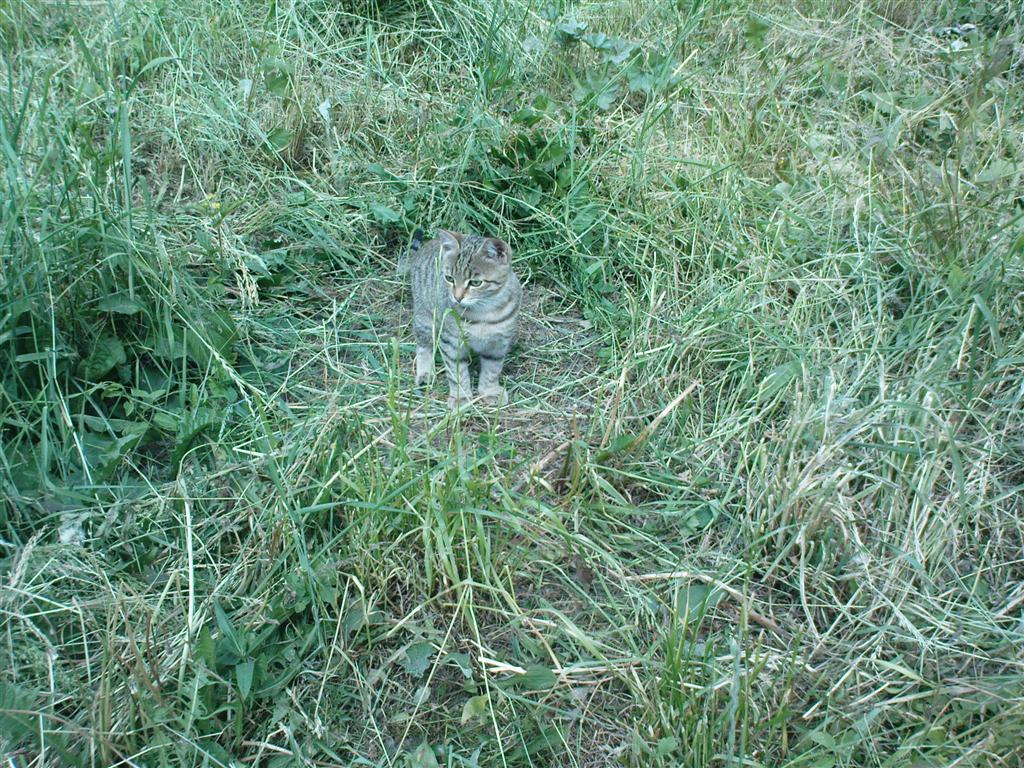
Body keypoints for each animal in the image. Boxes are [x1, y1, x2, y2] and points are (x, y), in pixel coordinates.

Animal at [401, 227, 524, 409]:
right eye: (449, 278)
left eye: (475, 283)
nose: (457, 298)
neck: (484, 312)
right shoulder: (451, 342)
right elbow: (456, 372)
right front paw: (460, 396)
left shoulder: (498, 344)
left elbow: (492, 370)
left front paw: (490, 391)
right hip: (425, 319)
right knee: (424, 346)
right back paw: (425, 372)